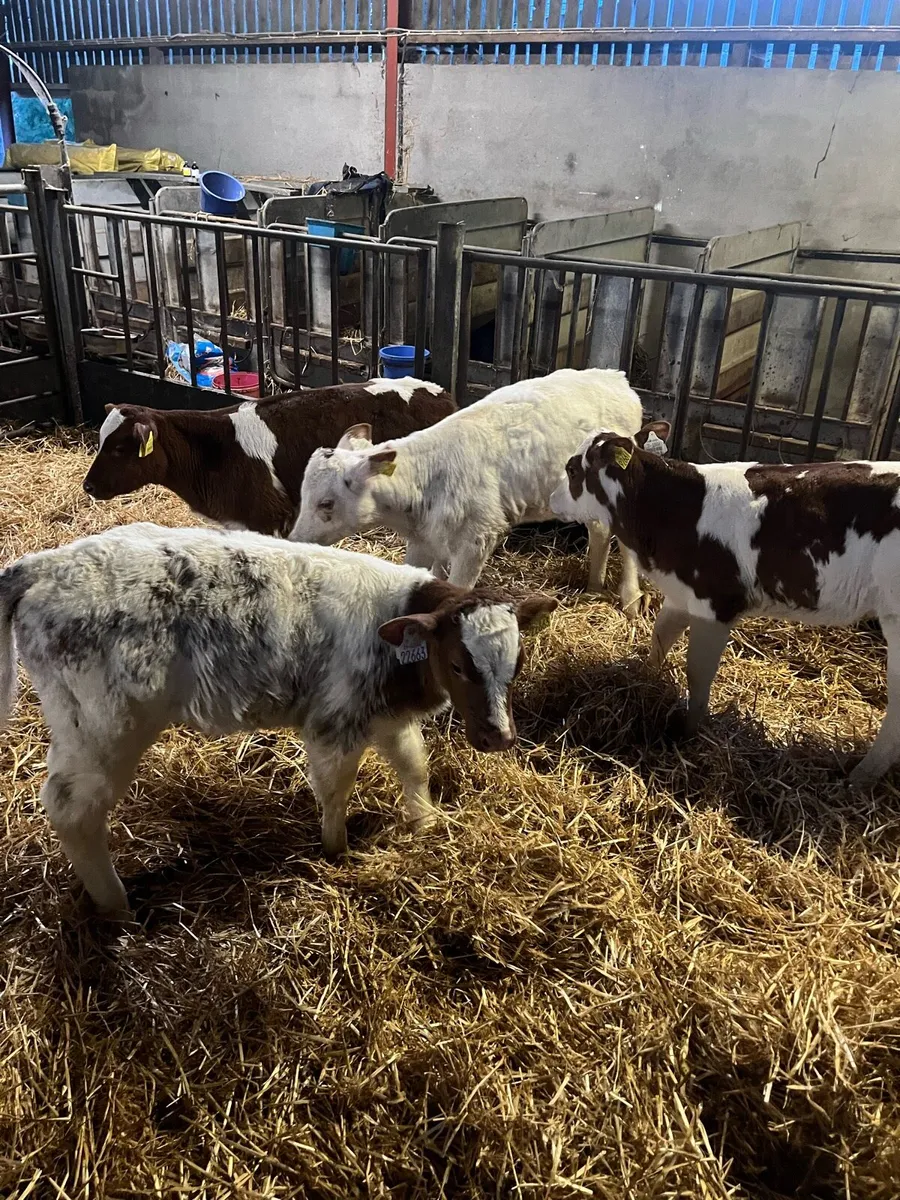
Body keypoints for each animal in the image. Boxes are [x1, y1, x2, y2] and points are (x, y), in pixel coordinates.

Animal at [0, 523, 555, 914]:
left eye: (518, 662)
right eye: (459, 665)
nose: (499, 736)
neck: (390, 634)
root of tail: (41, 565)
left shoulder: (387, 716)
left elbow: (413, 765)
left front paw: (425, 824)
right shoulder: (334, 721)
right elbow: (336, 789)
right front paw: (337, 852)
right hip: (103, 727)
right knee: (72, 809)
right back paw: (117, 909)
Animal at [289, 368, 647, 611]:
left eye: (326, 503)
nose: (294, 540)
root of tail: (617, 379)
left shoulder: (477, 538)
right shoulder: (423, 540)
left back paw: (630, 598)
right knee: (600, 529)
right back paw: (594, 585)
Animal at [549, 420, 900, 787]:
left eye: (572, 469)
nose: (551, 499)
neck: (670, 509)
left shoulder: (715, 602)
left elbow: (697, 672)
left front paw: (687, 734)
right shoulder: (681, 594)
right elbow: (660, 638)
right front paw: (642, 682)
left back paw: (859, 777)